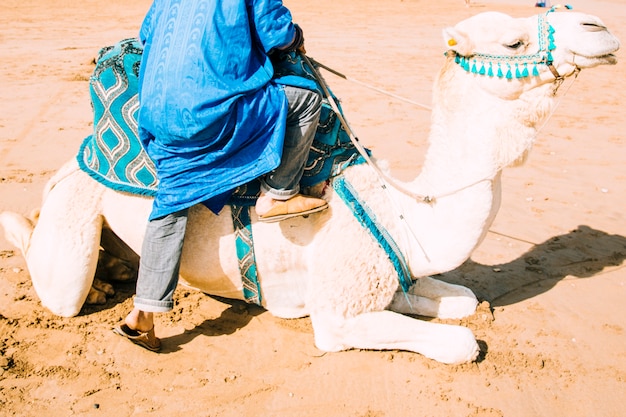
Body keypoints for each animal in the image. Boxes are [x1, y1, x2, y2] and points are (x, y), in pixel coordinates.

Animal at [0, 8, 620, 362]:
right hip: (75, 213)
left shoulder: (382, 276)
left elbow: (463, 301)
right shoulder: (338, 312)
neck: (403, 212)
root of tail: (74, 162)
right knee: (54, 275)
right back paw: (100, 290)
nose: (601, 26)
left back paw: (114, 274)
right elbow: (461, 342)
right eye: (513, 43)